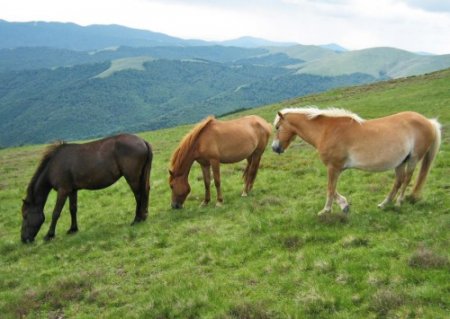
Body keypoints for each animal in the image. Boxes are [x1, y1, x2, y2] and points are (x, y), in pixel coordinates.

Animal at [20, 134, 153, 244]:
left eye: (25, 215)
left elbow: (56, 213)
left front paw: (49, 235)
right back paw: (144, 216)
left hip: (132, 177)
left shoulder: (63, 191)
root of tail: (142, 141)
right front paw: (73, 229)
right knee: (145, 192)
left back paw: (137, 219)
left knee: (139, 195)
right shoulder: (72, 190)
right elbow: (73, 209)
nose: (24, 239)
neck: (54, 165)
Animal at [272, 107, 442, 215]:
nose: (275, 148)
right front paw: (344, 205)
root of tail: (429, 122)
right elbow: (332, 189)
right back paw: (384, 204)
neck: (326, 130)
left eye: (277, 127)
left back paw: (399, 202)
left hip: (413, 159)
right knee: (399, 181)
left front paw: (326, 210)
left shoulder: (333, 167)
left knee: (406, 179)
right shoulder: (336, 168)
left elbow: (330, 189)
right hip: (400, 162)